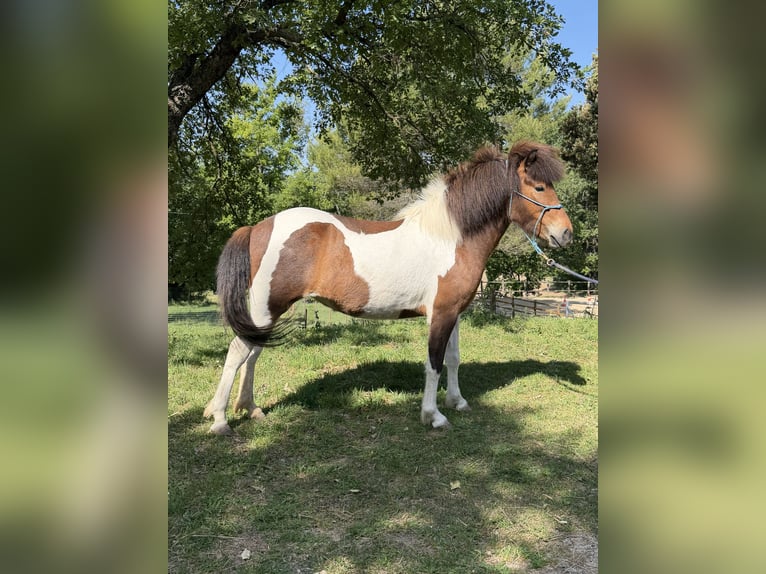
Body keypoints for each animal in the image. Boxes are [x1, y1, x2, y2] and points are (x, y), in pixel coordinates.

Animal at [204, 141, 573, 434]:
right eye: (539, 187)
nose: (566, 233)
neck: (450, 238)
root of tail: (258, 227)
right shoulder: (439, 314)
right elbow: (434, 362)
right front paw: (433, 416)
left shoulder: (454, 312)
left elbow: (453, 359)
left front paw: (457, 402)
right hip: (267, 307)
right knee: (238, 352)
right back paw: (220, 419)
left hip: (267, 310)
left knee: (252, 352)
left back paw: (250, 409)